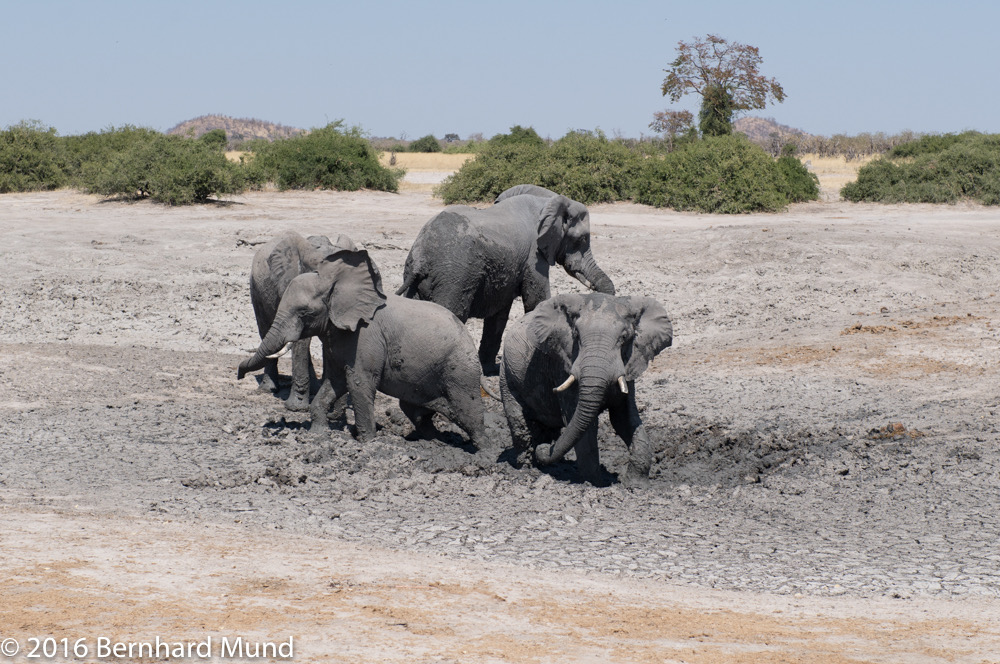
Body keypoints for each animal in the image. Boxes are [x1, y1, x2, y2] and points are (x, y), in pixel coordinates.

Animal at [247, 232, 354, 410]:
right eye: (317, 276)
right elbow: (300, 341)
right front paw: (297, 408)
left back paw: (315, 389)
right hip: (256, 290)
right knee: (264, 329)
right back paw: (268, 389)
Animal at [394, 184, 612, 376]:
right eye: (581, 240)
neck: (549, 200)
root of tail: (421, 256)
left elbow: (499, 315)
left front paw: (490, 370)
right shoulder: (534, 256)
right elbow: (536, 300)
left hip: (418, 276)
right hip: (453, 278)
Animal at [498, 294, 672, 486]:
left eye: (625, 337)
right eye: (576, 335)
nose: (544, 450)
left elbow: (624, 419)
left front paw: (635, 484)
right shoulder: (563, 367)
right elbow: (584, 429)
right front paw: (596, 485)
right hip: (507, 375)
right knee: (519, 423)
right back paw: (528, 468)